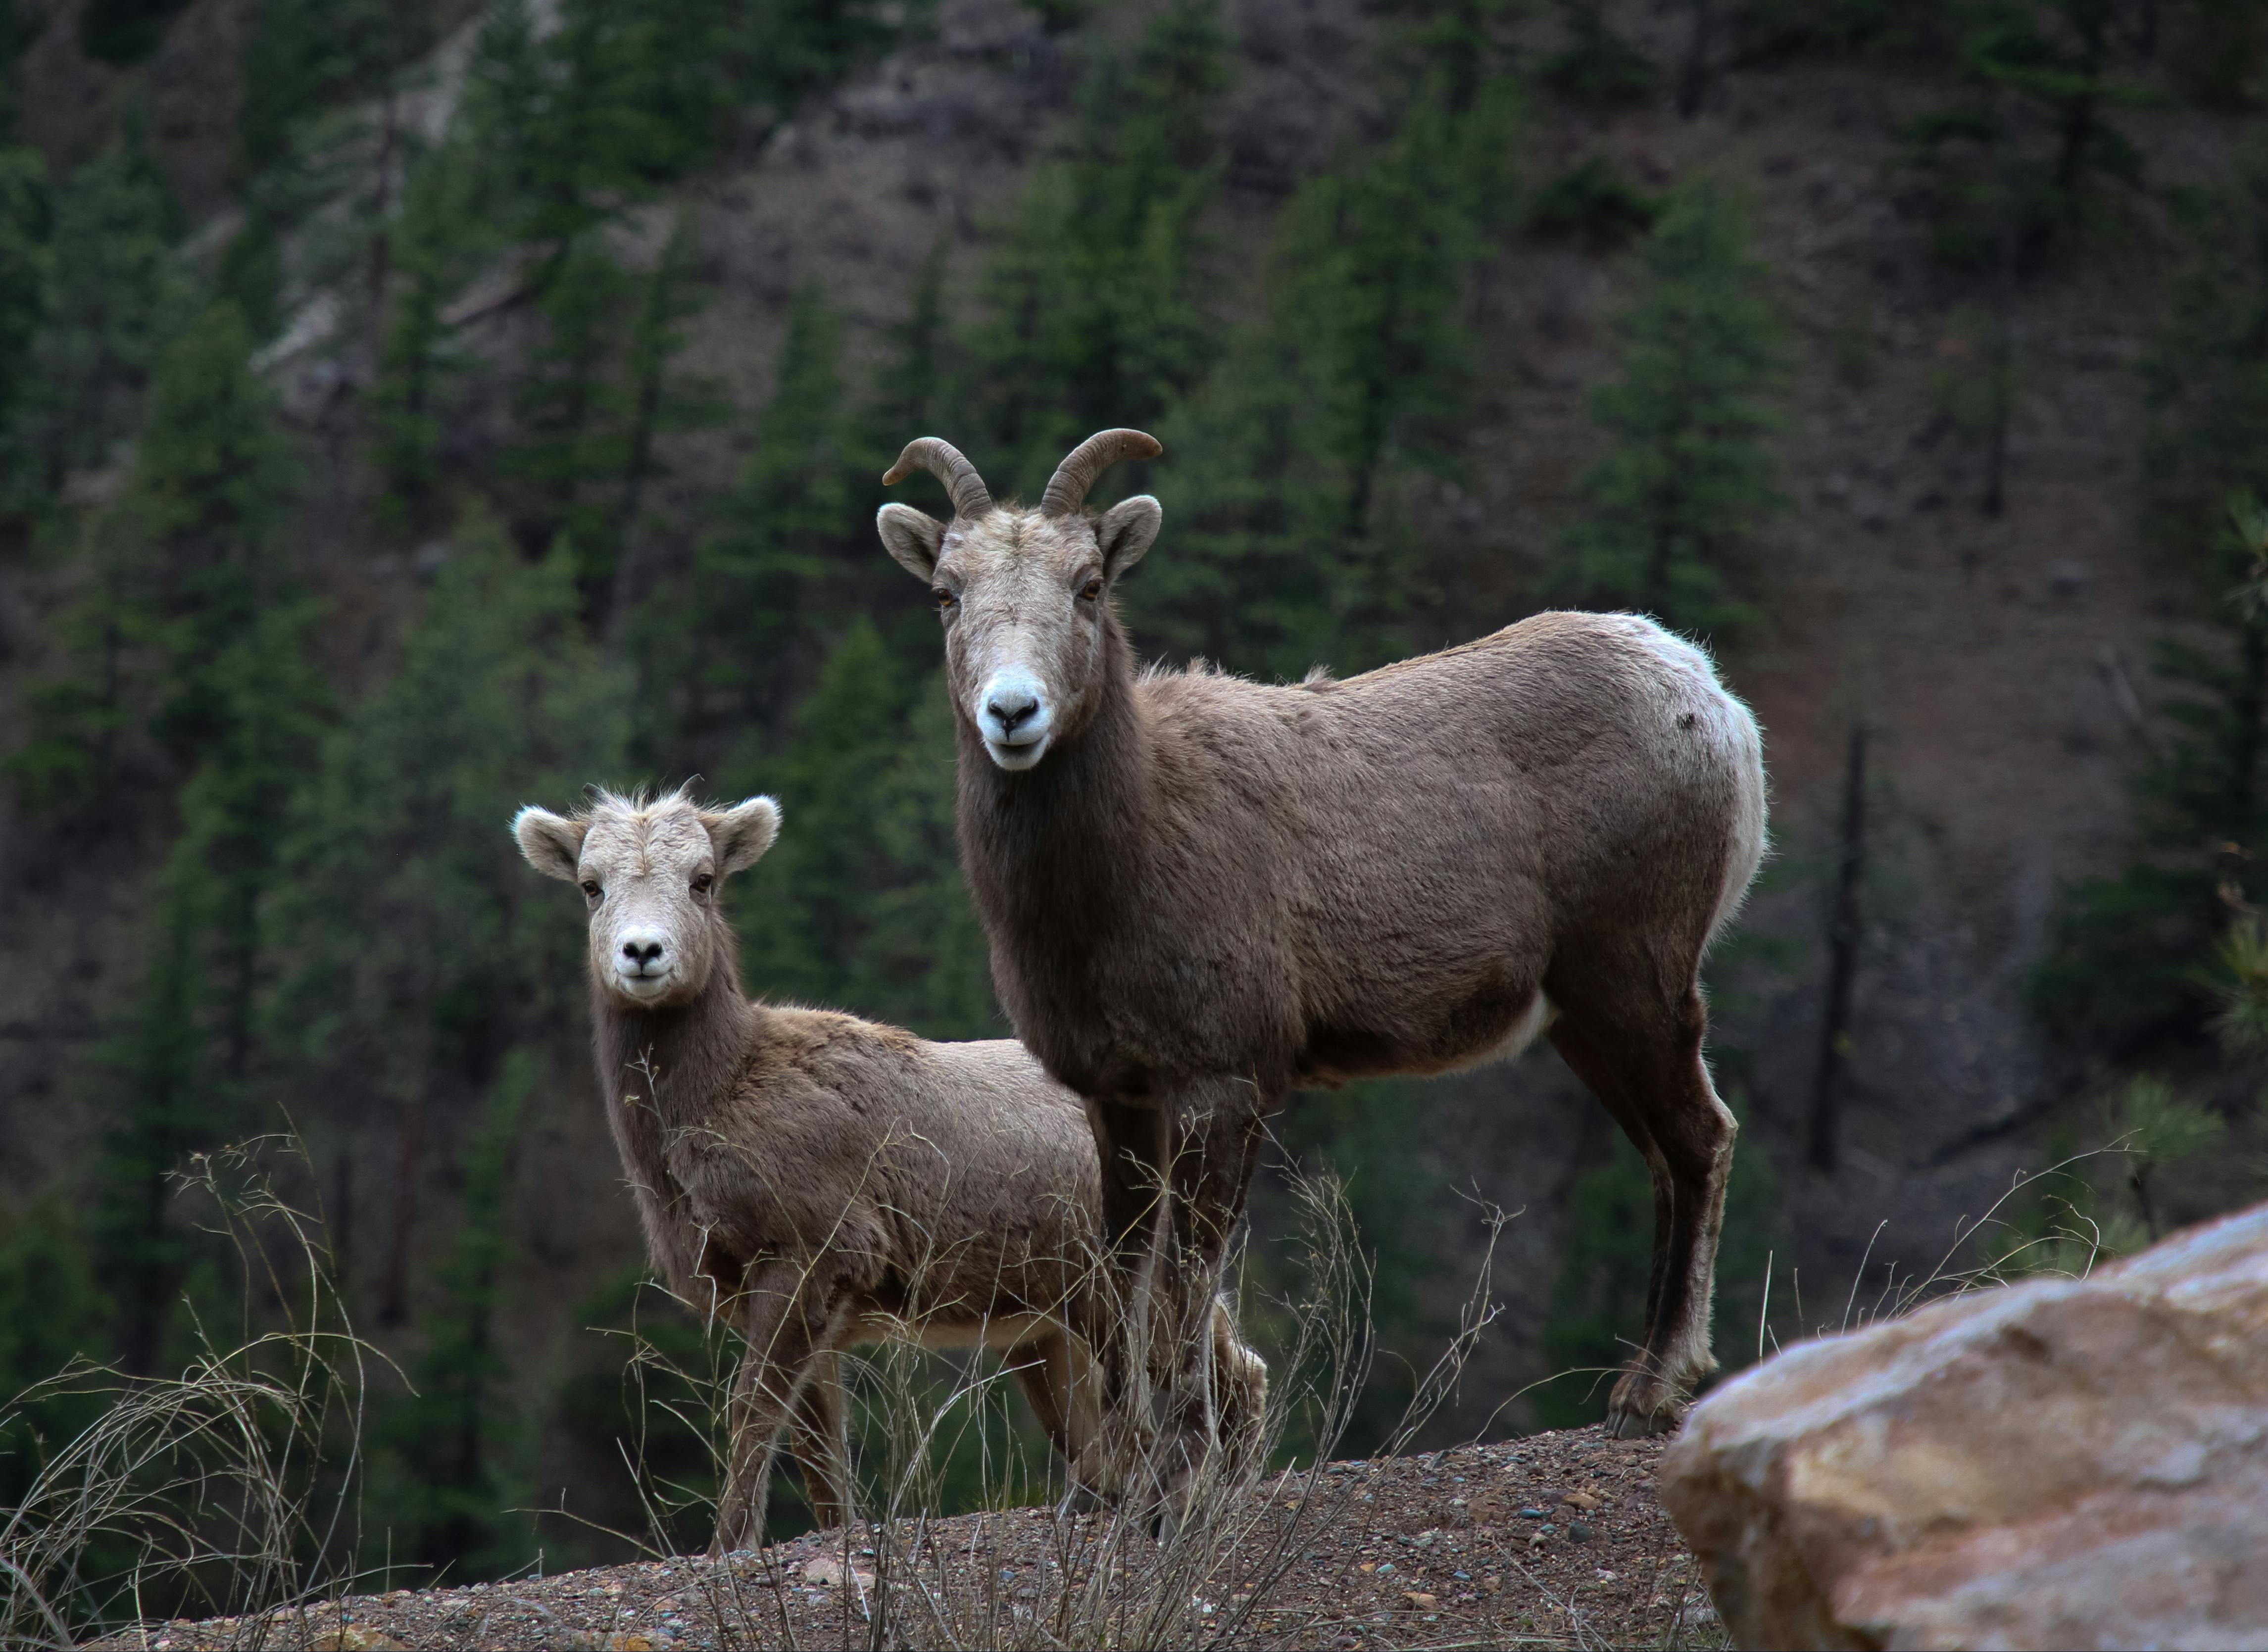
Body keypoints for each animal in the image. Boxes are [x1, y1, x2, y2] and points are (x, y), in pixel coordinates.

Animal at [510, 793, 1279, 1550]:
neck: (714, 1105)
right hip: (1047, 1327)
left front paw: (729, 1543)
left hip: (1127, 1286)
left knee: (1233, 1375)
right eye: (590, 885)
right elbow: (820, 1454)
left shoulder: (812, 1251)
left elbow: (753, 1408)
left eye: (704, 879)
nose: (642, 952)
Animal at [875, 428, 1778, 1486]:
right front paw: (1137, 1471)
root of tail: (1711, 702)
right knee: (1666, 1155)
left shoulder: (1224, 1082)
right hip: (1585, 1022)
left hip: (1633, 982)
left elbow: (1187, 1278)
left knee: (1700, 1138)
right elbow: (1124, 1268)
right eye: (948, 592)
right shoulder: (1117, 1094)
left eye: (1089, 584)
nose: (1012, 714)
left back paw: (1646, 1395)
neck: (1130, 849)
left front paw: (1184, 1463)